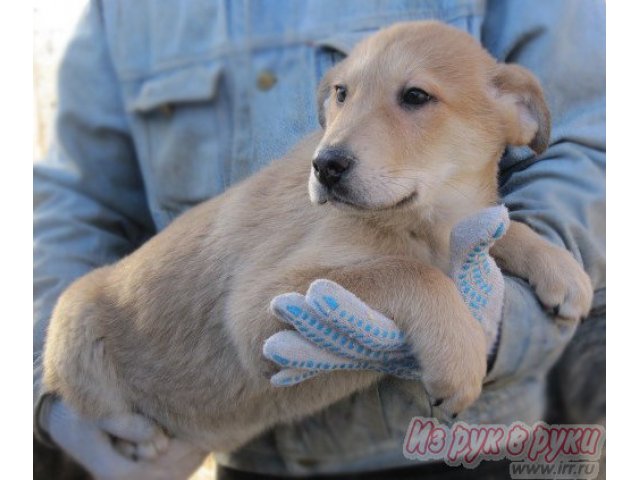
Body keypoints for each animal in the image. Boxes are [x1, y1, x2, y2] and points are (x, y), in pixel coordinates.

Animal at [41, 21, 596, 458]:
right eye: (341, 93)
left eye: (416, 96)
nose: (325, 166)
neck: (421, 221)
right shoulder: (254, 311)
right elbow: (410, 271)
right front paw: (458, 356)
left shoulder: (458, 227)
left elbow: (499, 227)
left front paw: (561, 267)